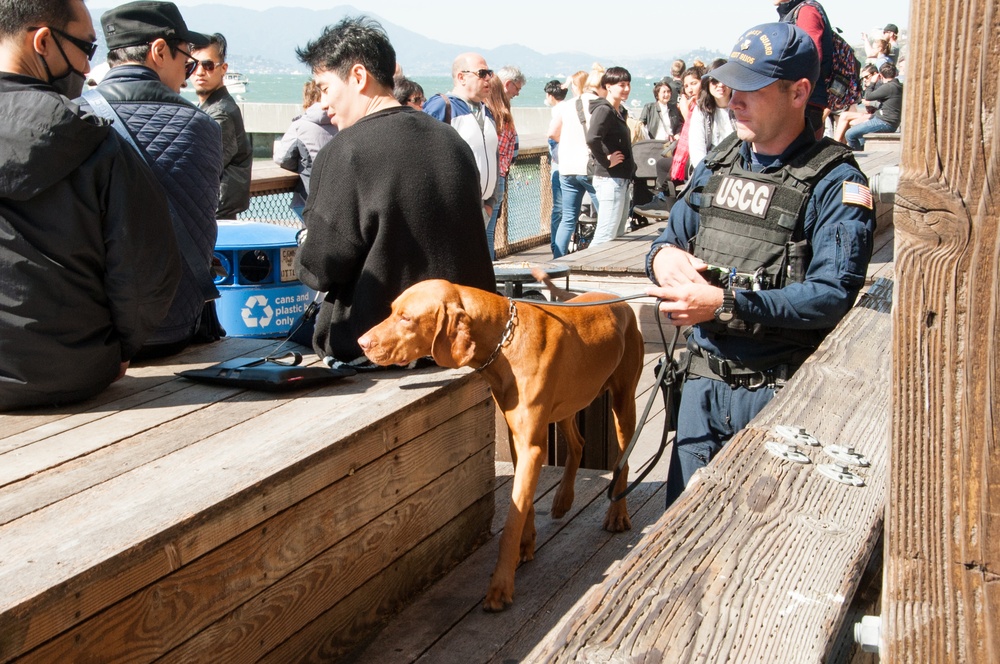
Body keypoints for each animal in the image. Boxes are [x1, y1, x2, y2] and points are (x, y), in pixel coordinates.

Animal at [356, 278, 644, 608]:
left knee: (623, 457)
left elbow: (512, 520)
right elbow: (524, 504)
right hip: (567, 403)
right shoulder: (518, 437)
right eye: (392, 310)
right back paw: (563, 499)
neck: (504, 342)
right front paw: (527, 543)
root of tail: (622, 302)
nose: (361, 343)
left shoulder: (531, 446)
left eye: (406, 318)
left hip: (622, 401)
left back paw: (617, 514)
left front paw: (501, 584)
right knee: (578, 443)